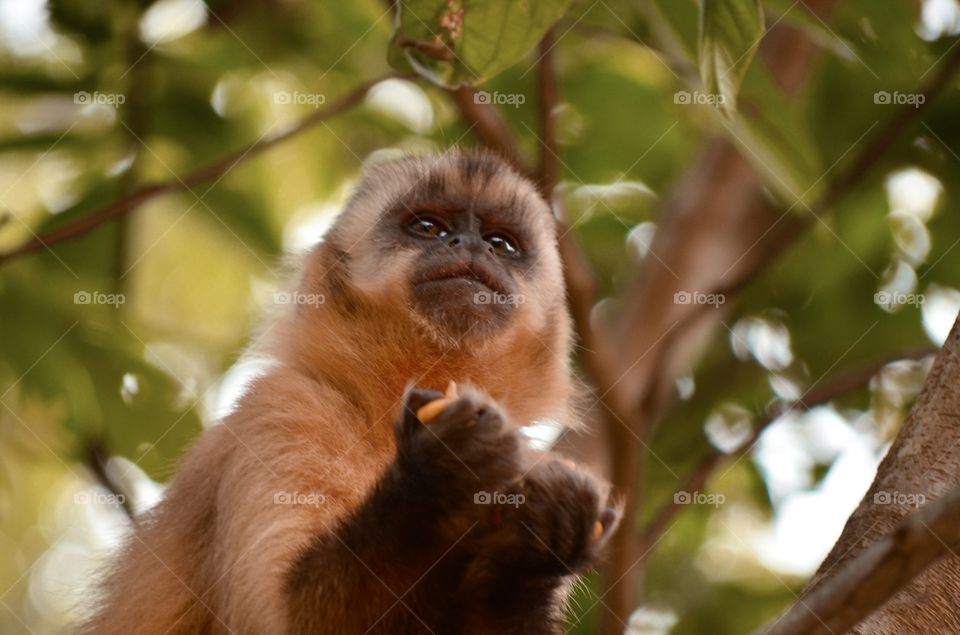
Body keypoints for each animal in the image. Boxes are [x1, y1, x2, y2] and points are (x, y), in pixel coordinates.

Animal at [79, 149, 620, 634]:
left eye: (501, 243)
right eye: (428, 227)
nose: (469, 244)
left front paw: (535, 548)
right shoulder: (284, 405)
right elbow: (289, 621)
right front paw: (440, 473)